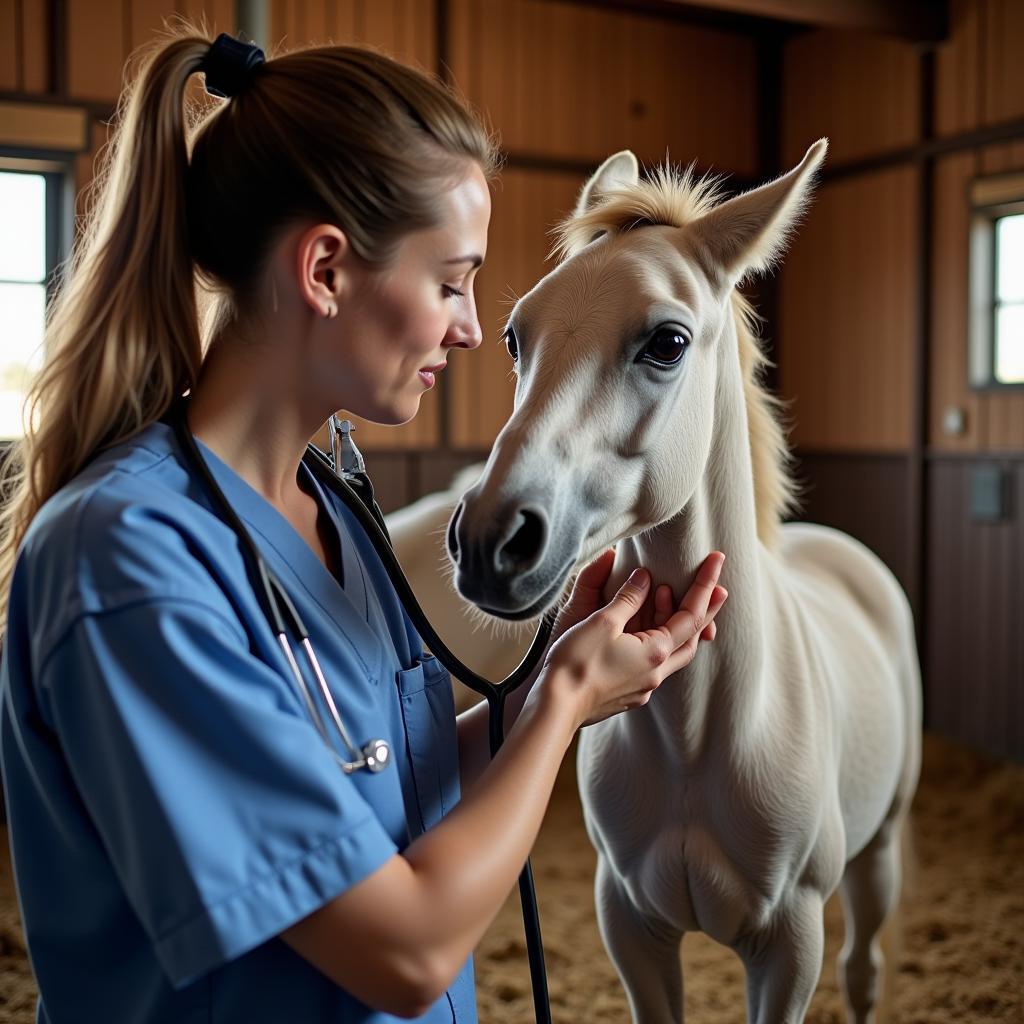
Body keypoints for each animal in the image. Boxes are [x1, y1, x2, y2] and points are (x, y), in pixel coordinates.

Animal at [444, 142, 925, 1024]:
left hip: (876, 857)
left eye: (666, 342)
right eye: (515, 338)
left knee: (864, 970)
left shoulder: (790, 946)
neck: (701, 737)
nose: (492, 542)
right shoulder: (630, 926)